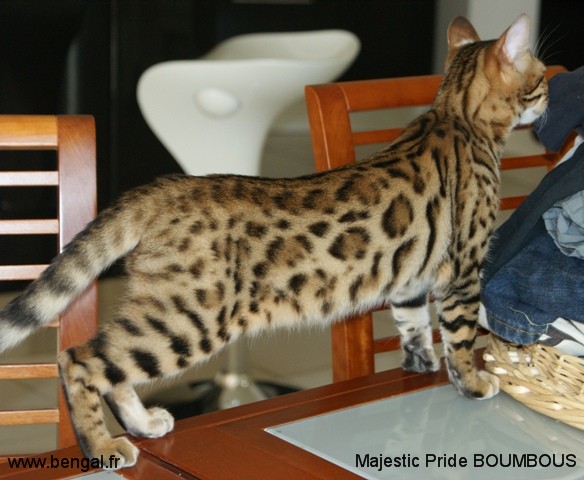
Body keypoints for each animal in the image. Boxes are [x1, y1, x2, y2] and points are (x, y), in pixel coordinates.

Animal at [0, 14, 547, 468]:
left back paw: (143, 423)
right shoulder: (464, 270)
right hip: (191, 318)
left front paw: (420, 364)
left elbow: (413, 325)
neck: (456, 113)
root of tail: (163, 188)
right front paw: (472, 382)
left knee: (113, 367)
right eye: (541, 75)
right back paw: (103, 445)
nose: (549, 92)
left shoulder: (411, 278)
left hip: (165, 310)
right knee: (78, 359)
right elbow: (460, 336)